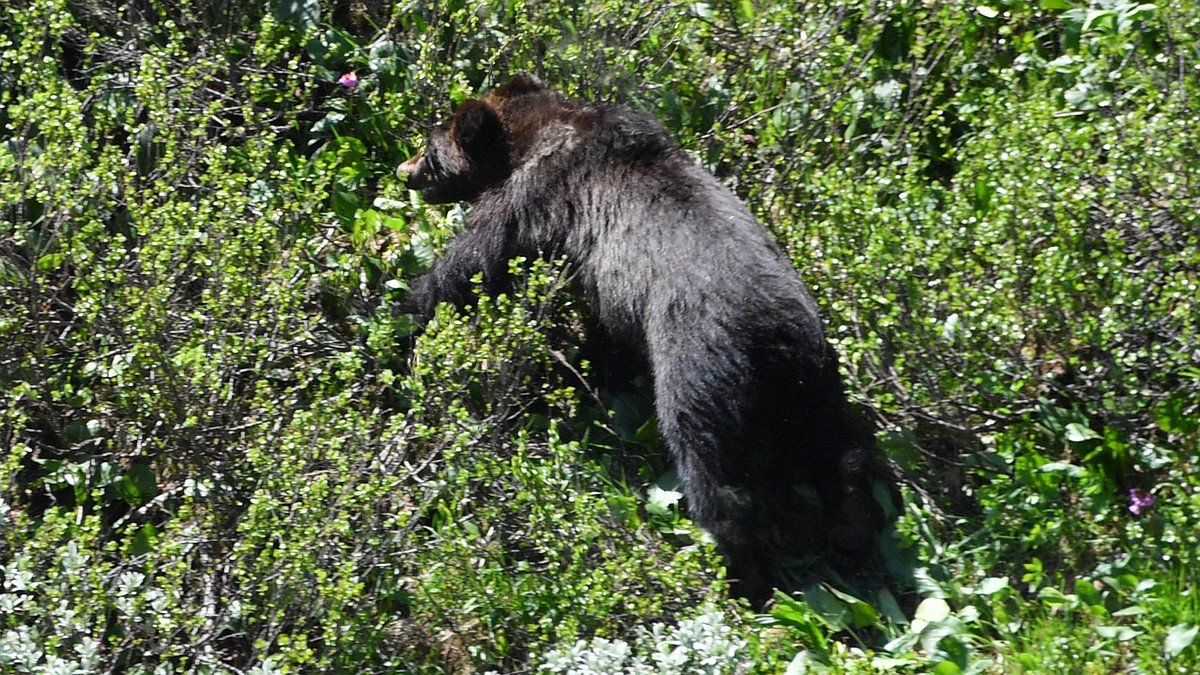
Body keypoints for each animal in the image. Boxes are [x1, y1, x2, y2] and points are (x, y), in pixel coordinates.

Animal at [398, 75, 883, 604]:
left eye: (430, 148)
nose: (406, 172)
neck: (535, 135)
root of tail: (774, 333)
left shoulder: (540, 197)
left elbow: (477, 262)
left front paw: (399, 308)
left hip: (697, 362)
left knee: (710, 465)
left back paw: (739, 572)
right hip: (813, 373)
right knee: (834, 444)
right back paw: (852, 530)